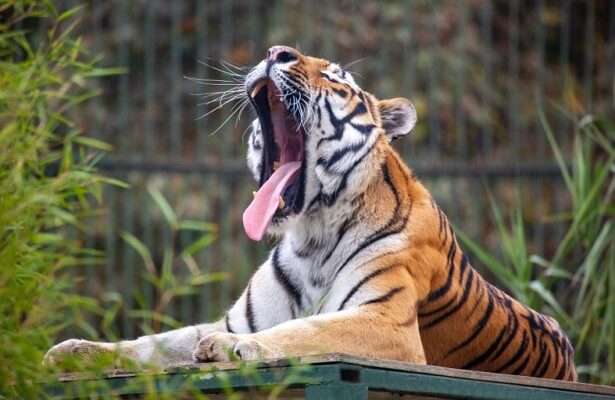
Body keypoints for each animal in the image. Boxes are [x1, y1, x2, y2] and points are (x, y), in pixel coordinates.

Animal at [45, 46, 580, 382]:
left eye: (336, 78)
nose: (275, 52)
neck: (313, 235)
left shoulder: (387, 324)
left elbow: (309, 330)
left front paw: (229, 350)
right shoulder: (239, 318)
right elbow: (154, 343)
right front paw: (75, 352)